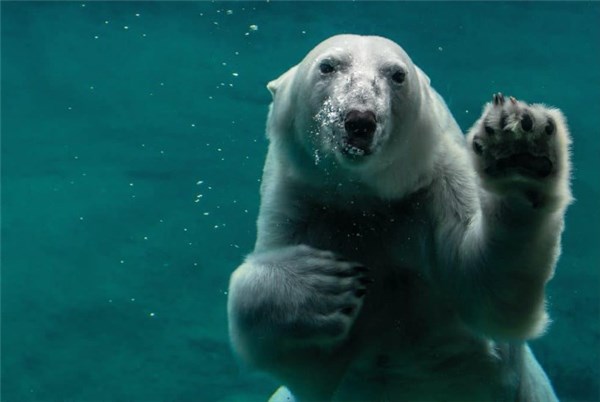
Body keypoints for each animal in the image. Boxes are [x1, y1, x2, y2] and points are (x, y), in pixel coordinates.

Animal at [226, 35, 572, 402]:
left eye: (397, 74)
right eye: (327, 66)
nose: (360, 119)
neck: (368, 197)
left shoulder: (436, 185)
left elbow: (490, 289)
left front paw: (519, 150)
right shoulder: (303, 203)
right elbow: (302, 359)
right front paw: (322, 283)